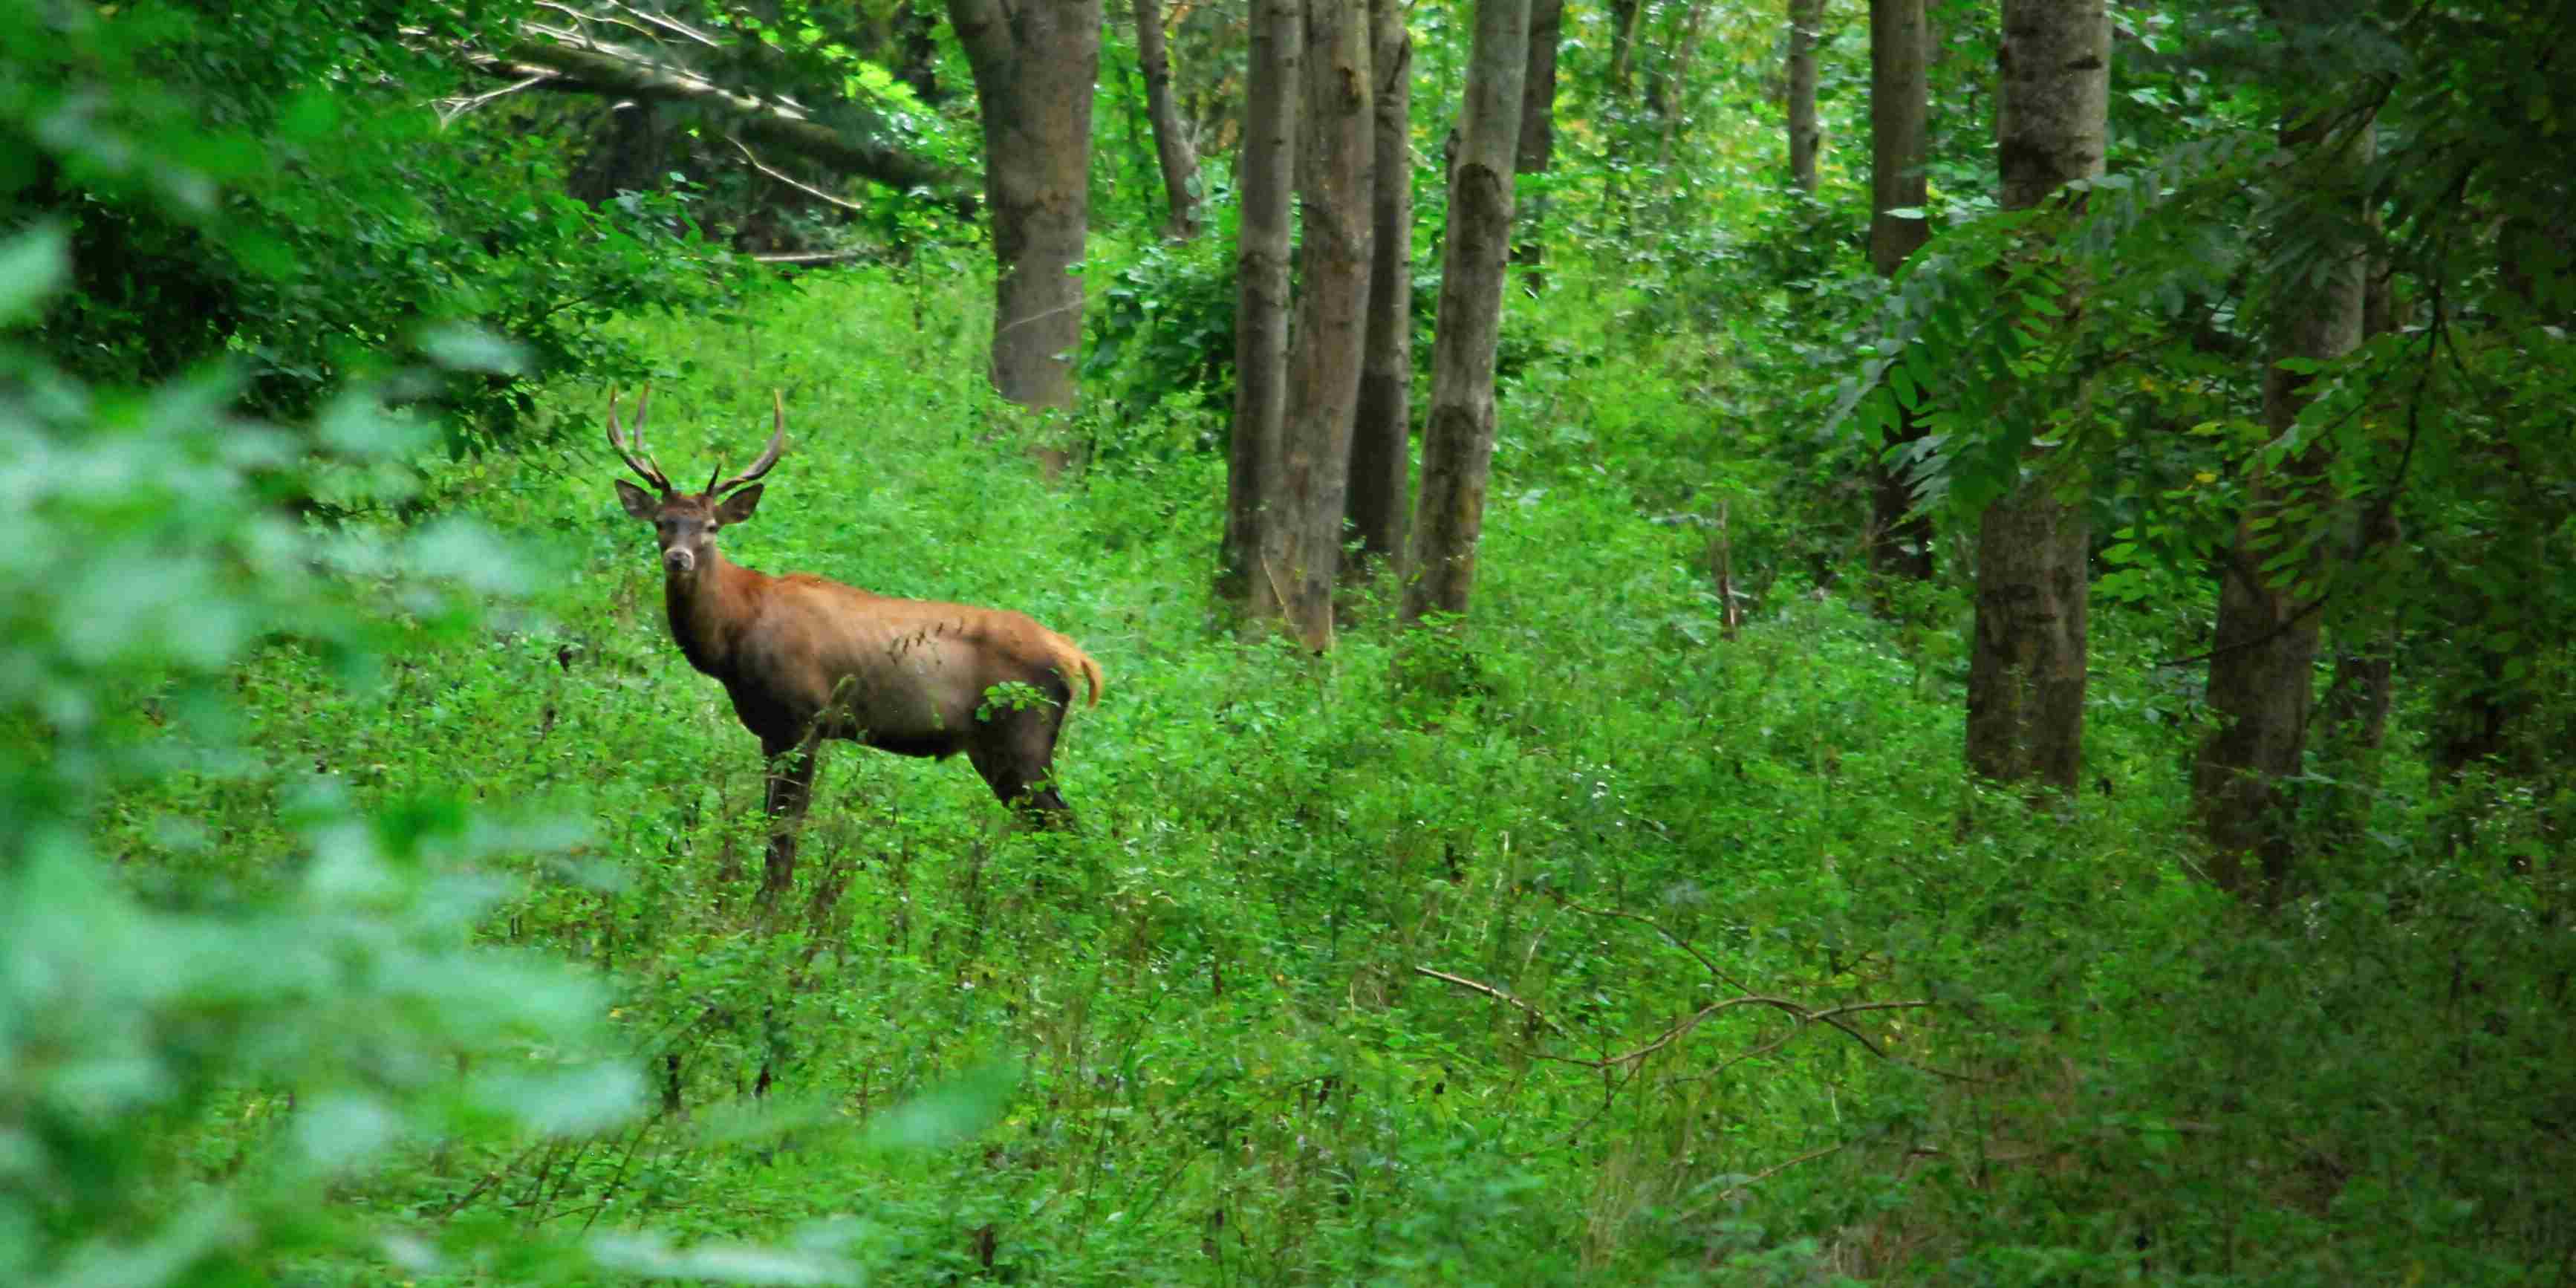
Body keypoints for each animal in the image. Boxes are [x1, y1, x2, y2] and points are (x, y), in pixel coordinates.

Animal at [605, 386, 1108, 901]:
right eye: (662, 522)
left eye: (711, 527)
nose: (678, 559)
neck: (734, 638)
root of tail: (1076, 658)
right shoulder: (770, 730)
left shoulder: (803, 720)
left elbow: (785, 832)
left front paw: (771, 908)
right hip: (994, 748)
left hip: (1024, 737)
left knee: (1066, 829)